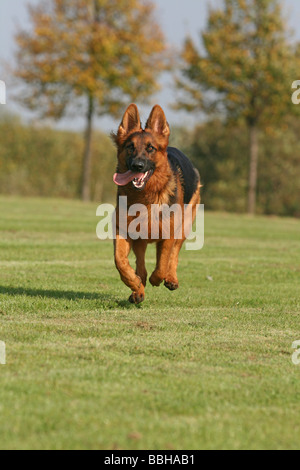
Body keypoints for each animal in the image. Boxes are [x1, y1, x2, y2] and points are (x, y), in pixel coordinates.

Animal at [111, 104, 200, 304]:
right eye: (130, 147)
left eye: (150, 148)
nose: (137, 166)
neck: (145, 198)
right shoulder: (123, 231)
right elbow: (120, 261)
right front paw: (133, 282)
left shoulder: (168, 234)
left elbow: (162, 264)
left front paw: (157, 279)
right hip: (141, 240)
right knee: (141, 266)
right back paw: (138, 290)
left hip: (184, 227)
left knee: (174, 255)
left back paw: (171, 278)